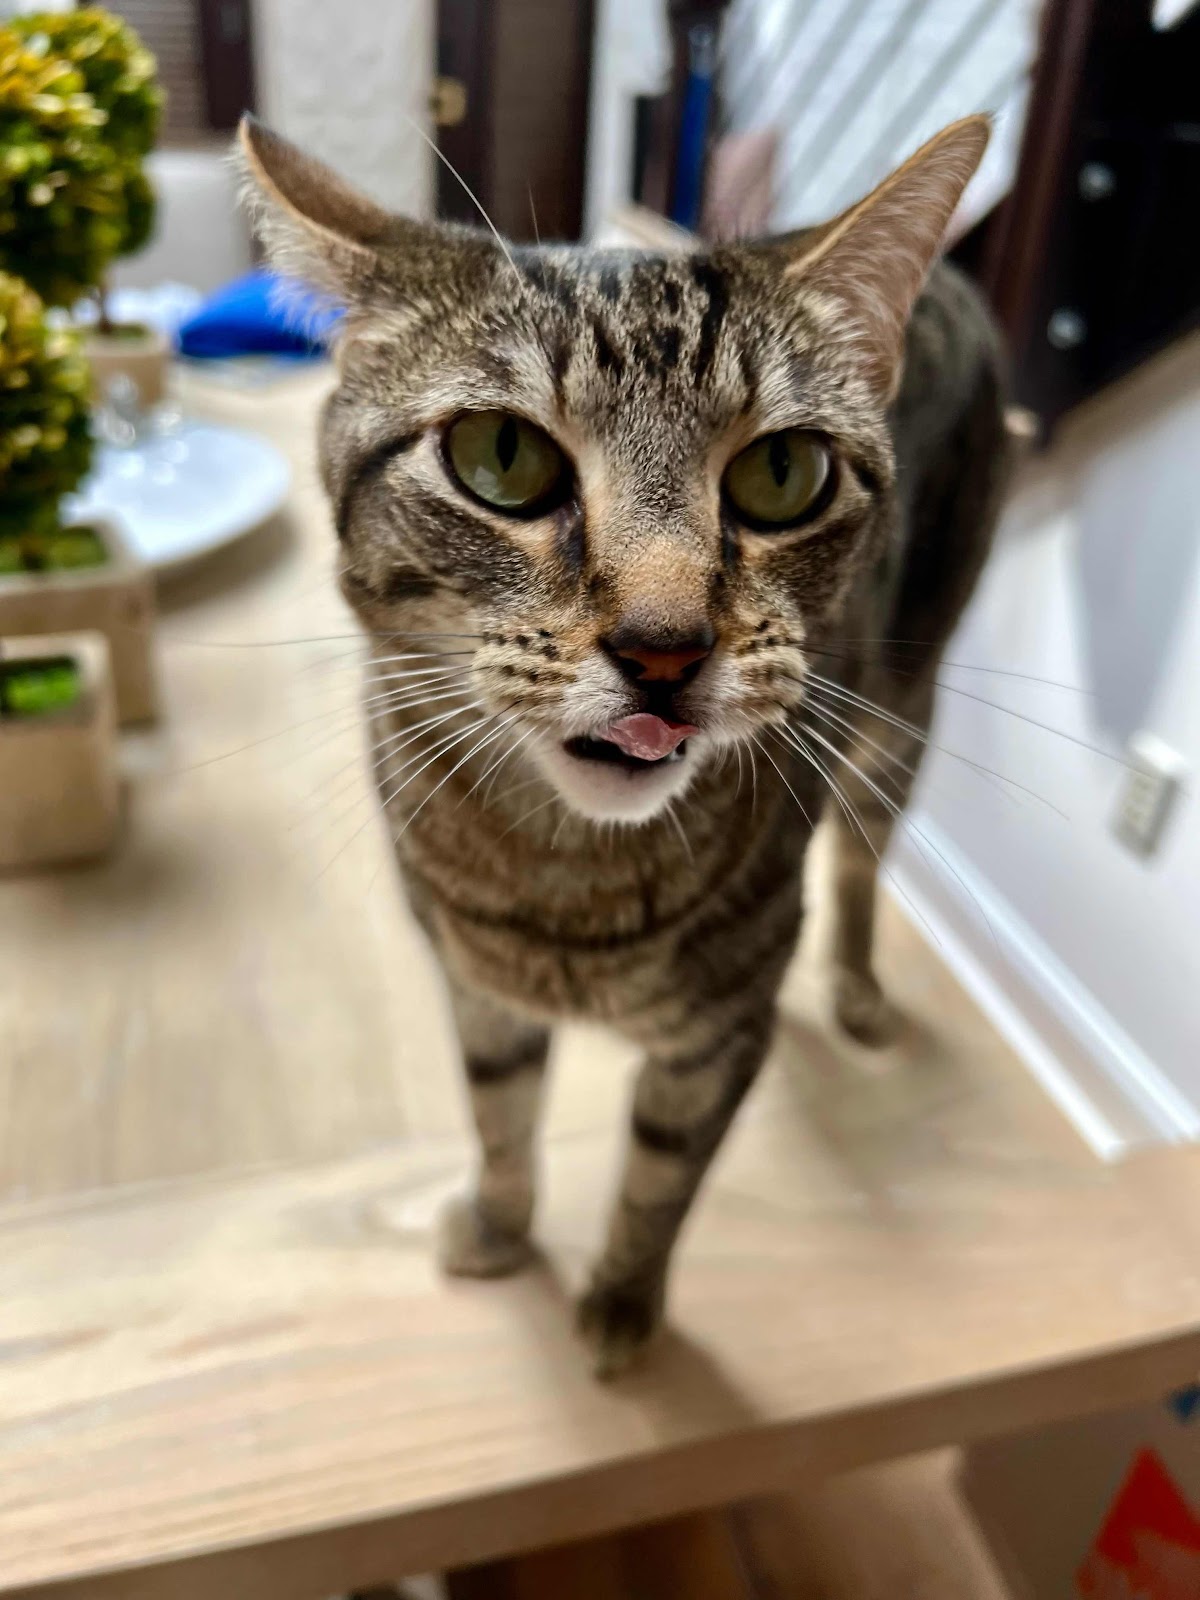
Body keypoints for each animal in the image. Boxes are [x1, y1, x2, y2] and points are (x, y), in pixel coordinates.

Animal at [240, 113, 1011, 1376]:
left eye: (784, 473)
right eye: (500, 457)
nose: (664, 648)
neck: (570, 883)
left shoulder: (717, 1036)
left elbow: (661, 1179)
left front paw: (621, 1303)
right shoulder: (478, 987)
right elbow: (500, 1116)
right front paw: (502, 1230)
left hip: (904, 717)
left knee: (858, 867)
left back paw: (852, 985)